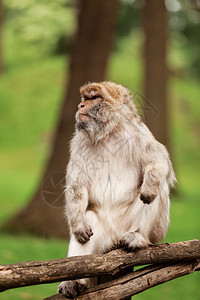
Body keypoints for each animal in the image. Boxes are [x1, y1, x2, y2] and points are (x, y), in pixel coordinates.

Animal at [57, 81, 176, 298]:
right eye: (85, 98)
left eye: (94, 98)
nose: (80, 106)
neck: (108, 133)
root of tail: (114, 238)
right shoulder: (79, 142)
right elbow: (77, 186)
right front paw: (78, 225)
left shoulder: (139, 133)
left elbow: (159, 163)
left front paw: (150, 186)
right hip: (102, 238)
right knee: (89, 217)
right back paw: (74, 280)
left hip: (144, 229)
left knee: (159, 188)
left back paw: (139, 238)